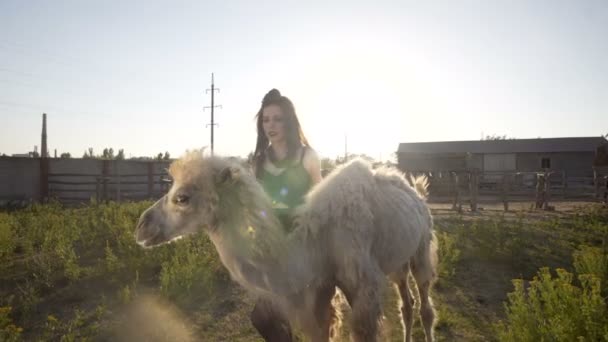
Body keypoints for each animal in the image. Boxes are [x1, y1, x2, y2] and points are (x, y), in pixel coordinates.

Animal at [135, 152, 434, 342]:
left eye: (182, 198)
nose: (141, 227)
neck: (313, 243)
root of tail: (416, 191)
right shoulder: (319, 289)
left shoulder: (363, 285)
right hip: (397, 262)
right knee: (406, 304)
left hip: (423, 248)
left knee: (425, 308)